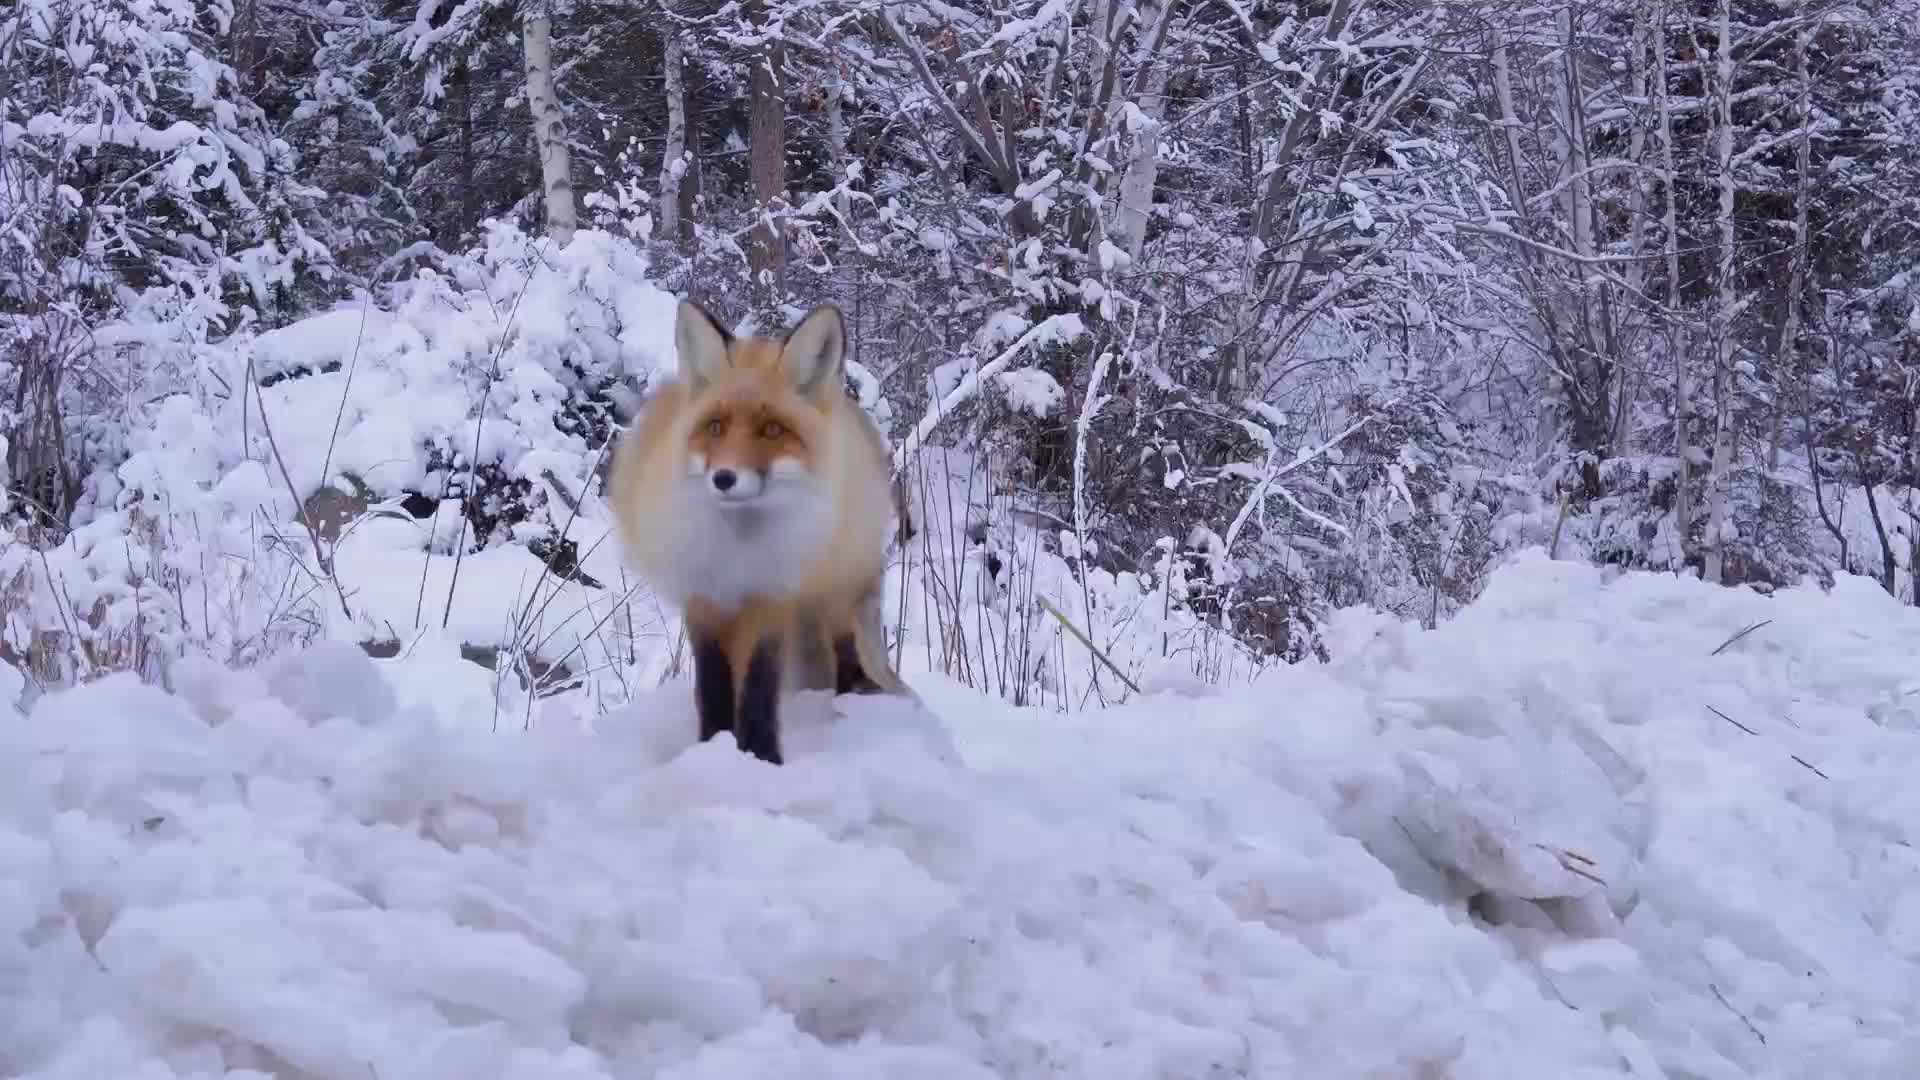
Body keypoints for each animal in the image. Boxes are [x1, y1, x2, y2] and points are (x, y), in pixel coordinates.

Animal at [614, 297, 913, 760]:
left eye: (772, 429)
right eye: (715, 427)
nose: (723, 478)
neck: (739, 552)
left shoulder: (772, 595)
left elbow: (758, 685)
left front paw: (761, 757)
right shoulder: (704, 599)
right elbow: (715, 685)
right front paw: (713, 745)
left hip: (837, 590)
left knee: (845, 650)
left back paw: (850, 703)